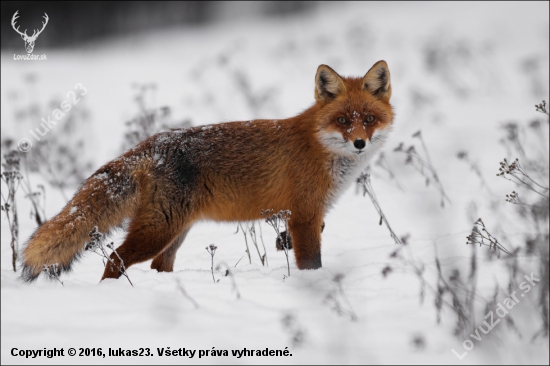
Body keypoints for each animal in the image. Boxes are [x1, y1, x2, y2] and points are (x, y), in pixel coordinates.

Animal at [20, 61, 392, 282]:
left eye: (369, 119)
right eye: (342, 120)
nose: (359, 143)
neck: (321, 148)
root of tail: (151, 143)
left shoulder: (309, 215)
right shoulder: (304, 215)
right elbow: (310, 262)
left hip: (175, 232)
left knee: (158, 266)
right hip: (158, 231)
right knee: (114, 259)